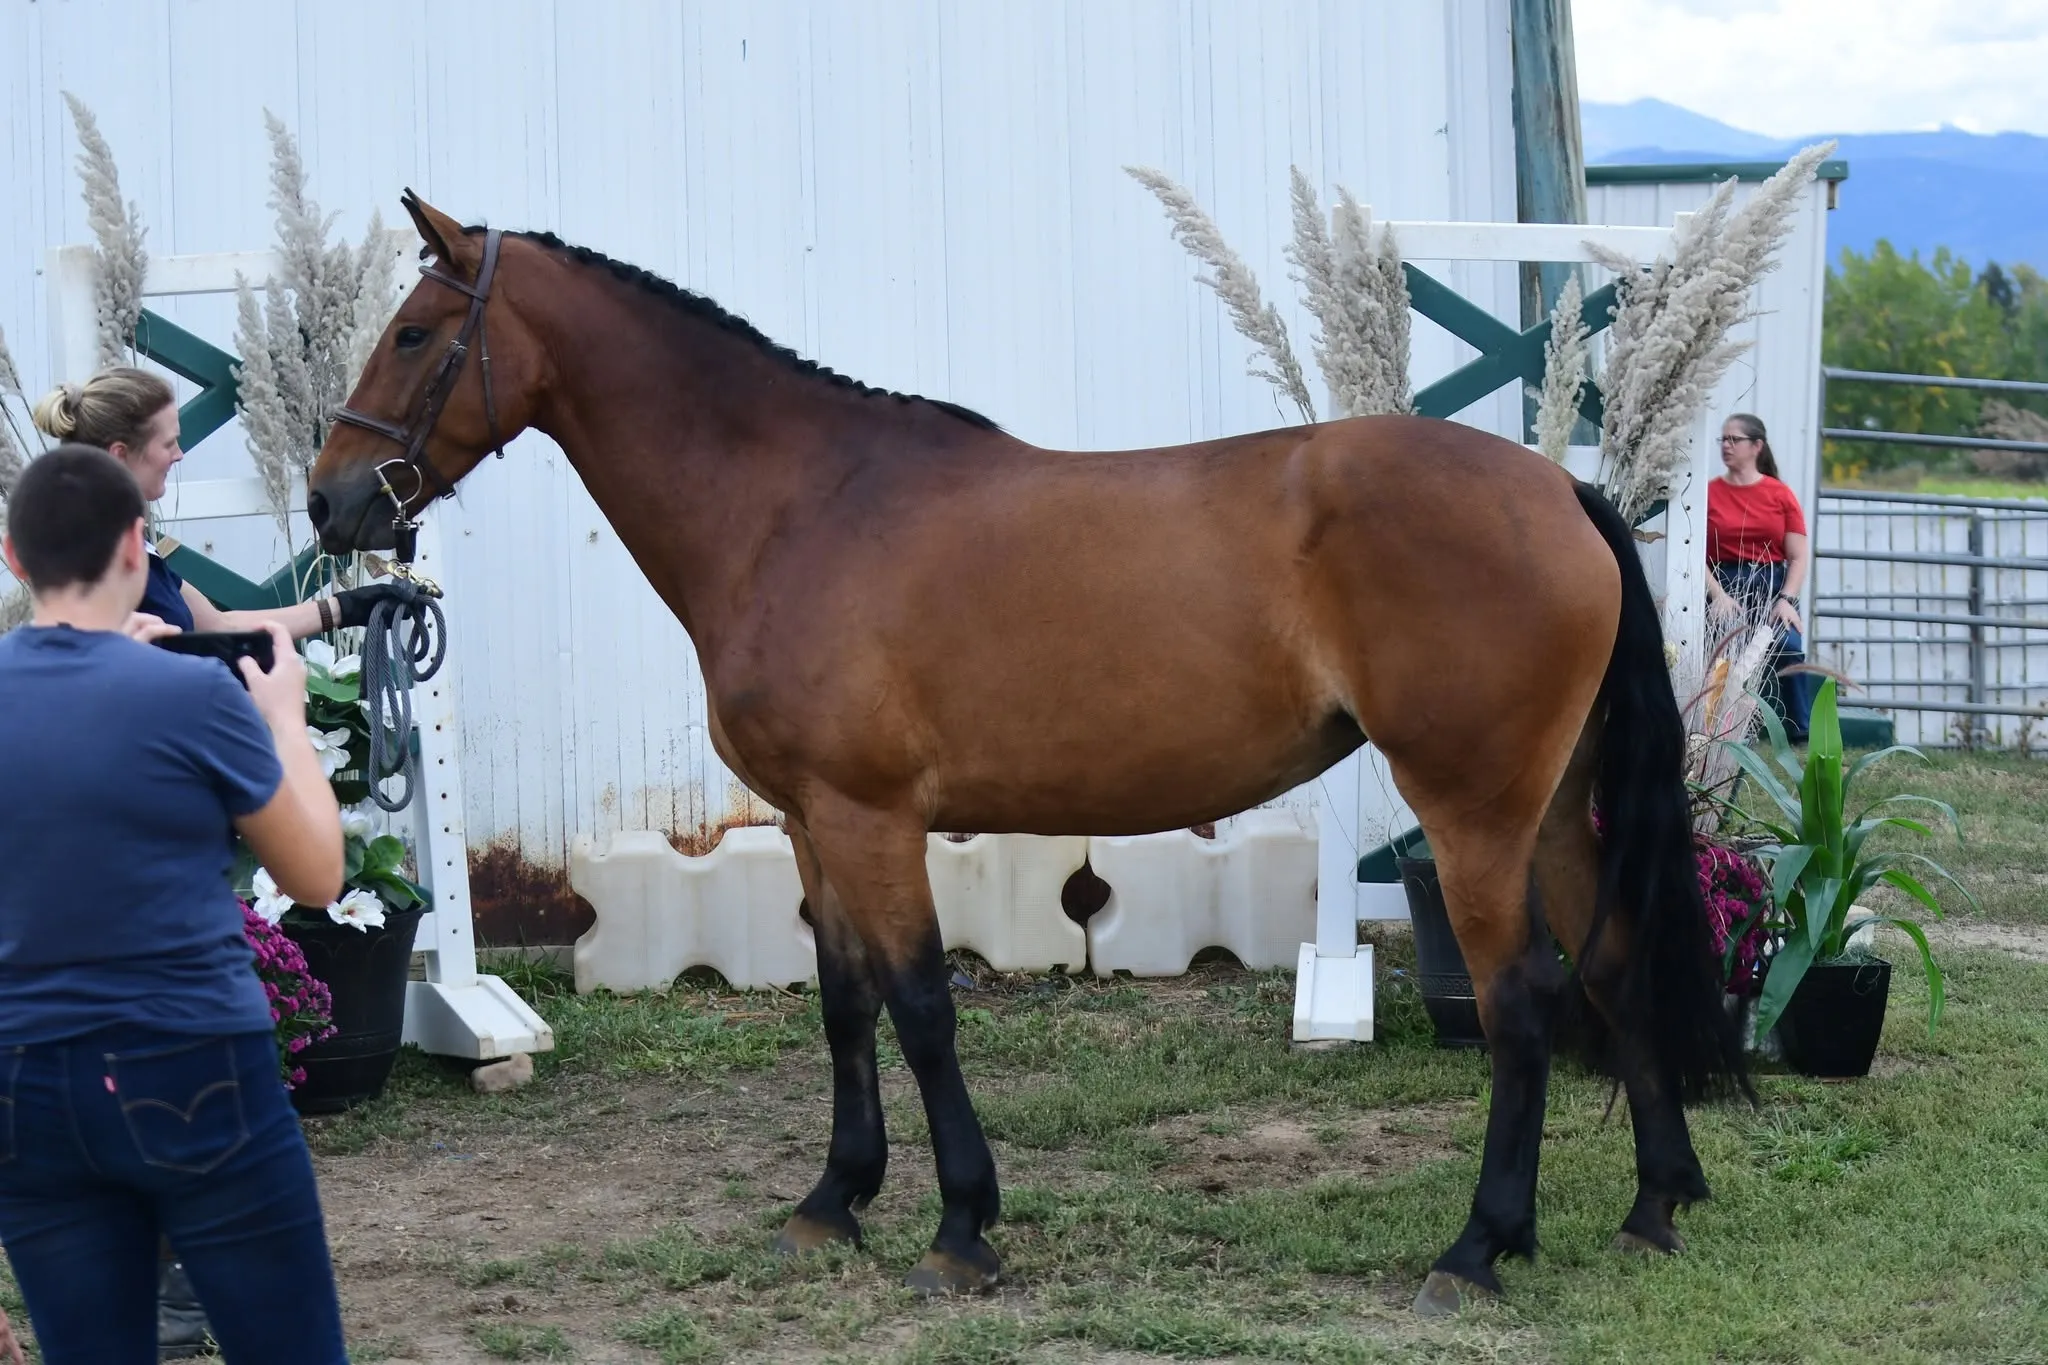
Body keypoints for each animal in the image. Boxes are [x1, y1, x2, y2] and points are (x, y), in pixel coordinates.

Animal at [307, 191, 1749, 1315]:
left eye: (416, 332)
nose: (330, 500)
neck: (794, 508)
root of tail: (1557, 486)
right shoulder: (813, 823)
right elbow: (843, 1005)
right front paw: (834, 1199)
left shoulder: (873, 817)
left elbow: (921, 1007)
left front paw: (959, 1228)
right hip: (1552, 809)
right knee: (1615, 967)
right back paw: (1654, 1210)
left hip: (1472, 814)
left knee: (1523, 1002)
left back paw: (1477, 1248)